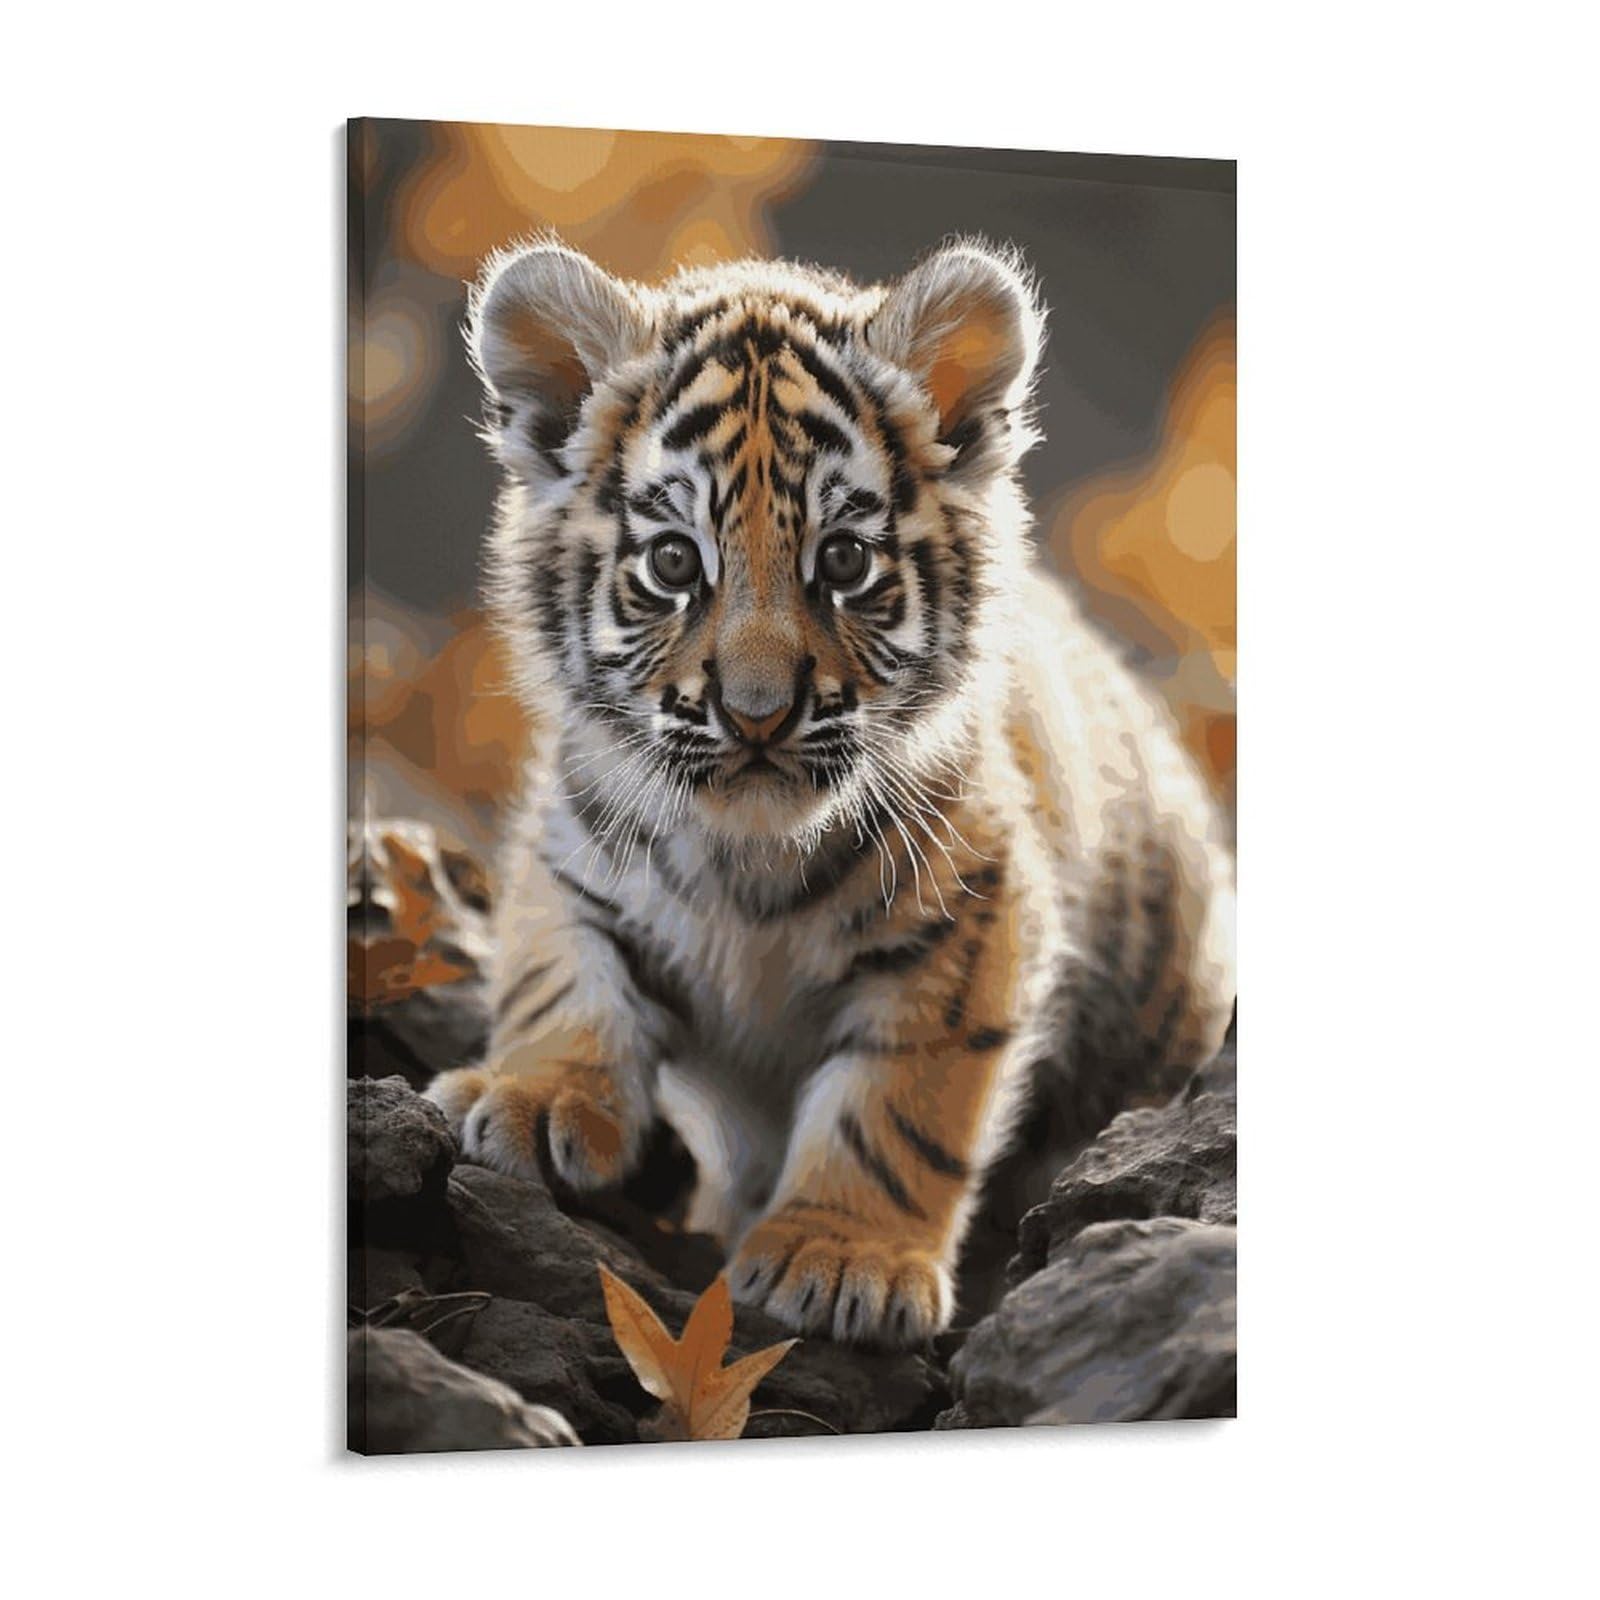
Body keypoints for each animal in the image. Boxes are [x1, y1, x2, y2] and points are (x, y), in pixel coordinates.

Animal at [424, 234, 1236, 1349]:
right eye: (673, 561)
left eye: (843, 560)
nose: (757, 713)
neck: (748, 852)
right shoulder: (577, 839)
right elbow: (560, 973)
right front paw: (529, 1096)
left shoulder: (972, 918)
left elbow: (895, 1106)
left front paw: (842, 1254)